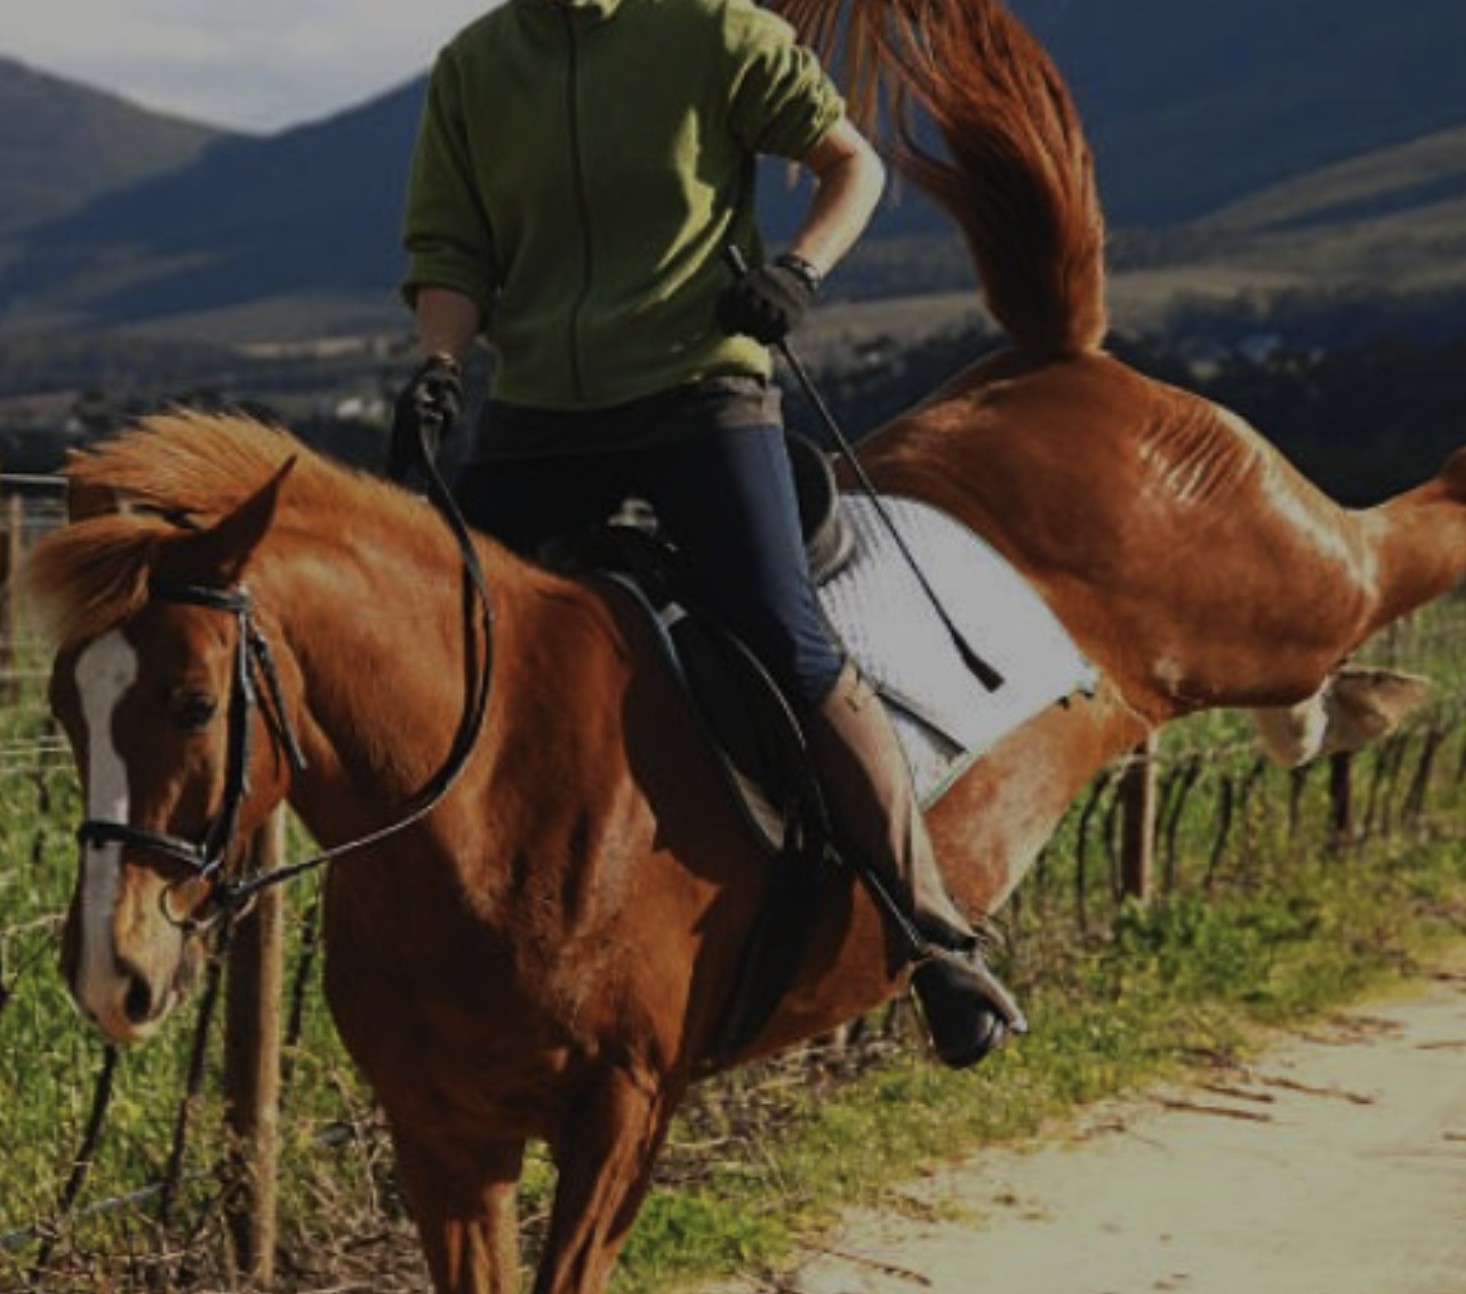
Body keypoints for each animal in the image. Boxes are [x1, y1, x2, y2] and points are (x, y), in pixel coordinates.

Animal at [24, 0, 1466, 1290]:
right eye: (63, 710)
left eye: (194, 703)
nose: (113, 975)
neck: (494, 789)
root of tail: (1057, 363)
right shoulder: (445, 1136)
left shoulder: (622, 1111)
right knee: (1315, 672)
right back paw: (1349, 712)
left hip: (1275, 572)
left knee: (1397, 544)